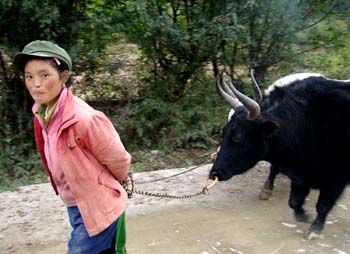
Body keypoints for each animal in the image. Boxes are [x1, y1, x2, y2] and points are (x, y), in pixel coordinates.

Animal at [208, 72, 350, 239]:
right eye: (224, 133)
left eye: (237, 137)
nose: (214, 173)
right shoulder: (300, 175)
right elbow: (294, 201)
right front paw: (303, 215)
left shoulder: (336, 178)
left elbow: (323, 205)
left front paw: (314, 229)